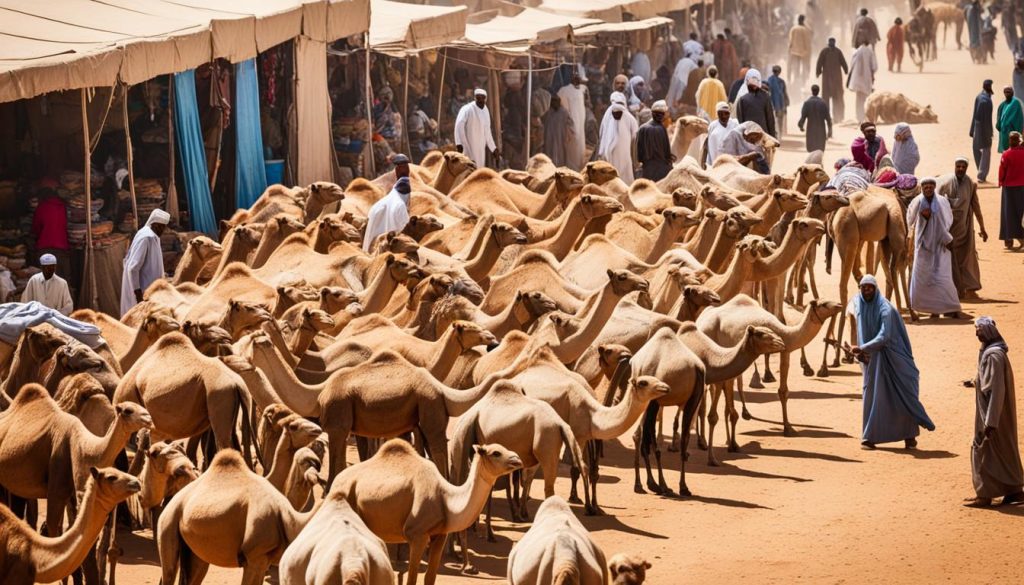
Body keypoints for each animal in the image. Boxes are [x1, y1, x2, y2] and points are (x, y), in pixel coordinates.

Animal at [0, 385, 151, 545]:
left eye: (142, 407)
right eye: (128, 410)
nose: (148, 419)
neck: (82, 445)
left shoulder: (71, 491)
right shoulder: (57, 485)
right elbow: (53, 527)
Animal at [154, 448, 315, 585]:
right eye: (306, 462)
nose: (317, 467)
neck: (290, 518)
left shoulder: (263, 561)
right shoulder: (255, 557)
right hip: (168, 520)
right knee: (169, 572)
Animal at [327, 438, 524, 585]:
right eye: (496, 453)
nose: (518, 460)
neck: (446, 501)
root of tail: (336, 482)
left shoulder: (440, 535)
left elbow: (430, 578)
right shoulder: (417, 535)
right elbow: (412, 579)